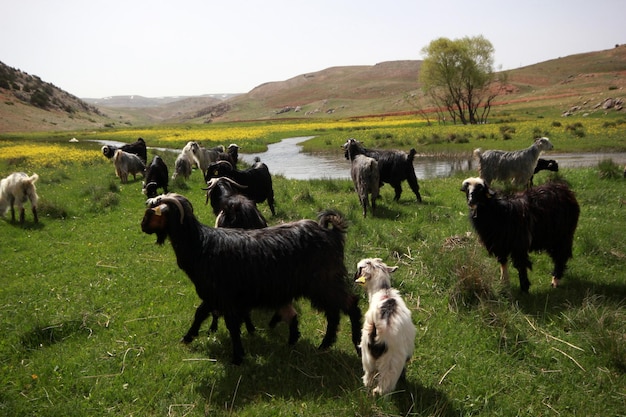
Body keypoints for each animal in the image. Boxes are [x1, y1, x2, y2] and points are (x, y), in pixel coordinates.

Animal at [139, 193, 358, 362]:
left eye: (150, 213)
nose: (142, 227)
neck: (200, 245)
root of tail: (332, 233)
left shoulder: (224, 296)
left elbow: (232, 326)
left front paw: (237, 357)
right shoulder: (212, 294)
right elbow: (200, 314)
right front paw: (188, 337)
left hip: (326, 281)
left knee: (350, 306)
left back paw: (355, 343)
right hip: (324, 285)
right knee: (334, 313)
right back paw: (323, 345)